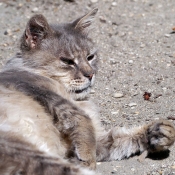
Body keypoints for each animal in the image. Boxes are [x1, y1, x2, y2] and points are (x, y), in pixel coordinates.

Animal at [0, 7, 175, 174]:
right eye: (68, 61)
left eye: (90, 57)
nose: (90, 74)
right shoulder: (46, 95)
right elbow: (85, 122)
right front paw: (87, 158)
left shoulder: (99, 139)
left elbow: (119, 138)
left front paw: (159, 132)